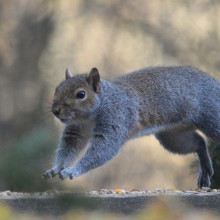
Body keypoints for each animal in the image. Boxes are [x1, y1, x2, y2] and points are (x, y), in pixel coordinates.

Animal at [42, 66, 218, 188]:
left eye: (81, 94)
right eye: (57, 89)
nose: (55, 110)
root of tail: (216, 83)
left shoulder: (116, 119)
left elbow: (103, 149)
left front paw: (73, 170)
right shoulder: (75, 131)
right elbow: (68, 148)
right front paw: (55, 169)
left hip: (211, 116)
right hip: (172, 136)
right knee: (199, 142)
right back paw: (204, 168)